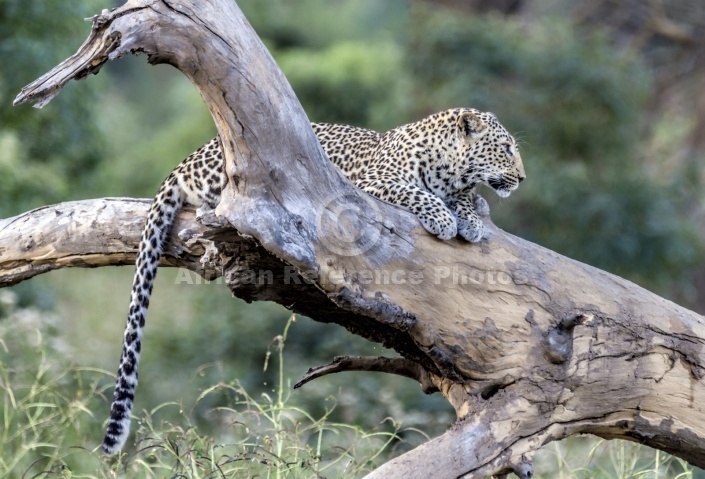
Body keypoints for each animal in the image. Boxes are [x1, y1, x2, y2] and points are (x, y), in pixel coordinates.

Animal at [102, 107, 524, 456]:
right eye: (505, 149)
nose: (521, 177)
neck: (449, 170)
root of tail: (187, 158)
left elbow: (469, 199)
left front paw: (471, 217)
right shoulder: (371, 185)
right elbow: (415, 192)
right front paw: (444, 217)